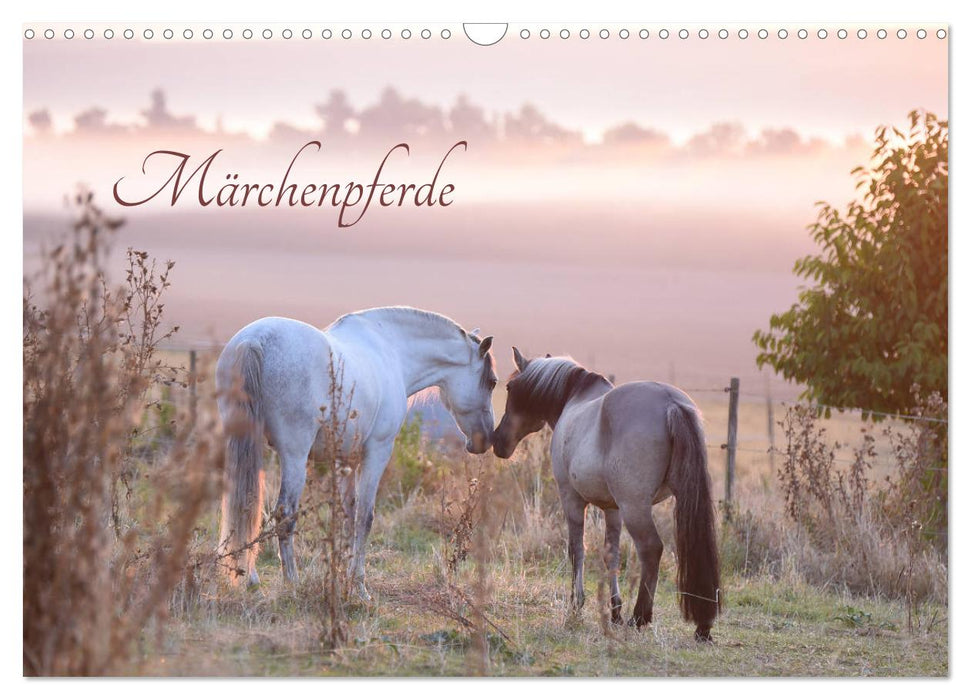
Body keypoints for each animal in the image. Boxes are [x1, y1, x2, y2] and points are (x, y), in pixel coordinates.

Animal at [216, 306, 498, 596]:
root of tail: (254, 340)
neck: (392, 350)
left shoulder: (344, 460)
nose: (487, 439)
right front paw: (359, 586)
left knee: (247, 505)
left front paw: (342, 575)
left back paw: (251, 579)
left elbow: (348, 516)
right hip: (294, 456)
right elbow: (365, 517)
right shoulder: (377, 452)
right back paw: (292, 583)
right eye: (492, 382)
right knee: (284, 513)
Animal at [498, 350, 716, 640]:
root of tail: (671, 403)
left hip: (635, 507)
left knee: (651, 549)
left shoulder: (571, 498)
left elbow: (576, 549)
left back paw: (640, 617)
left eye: (510, 388)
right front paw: (615, 611)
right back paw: (701, 626)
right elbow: (611, 555)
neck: (575, 398)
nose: (498, 441)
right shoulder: (613, 509)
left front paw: (576, 605)